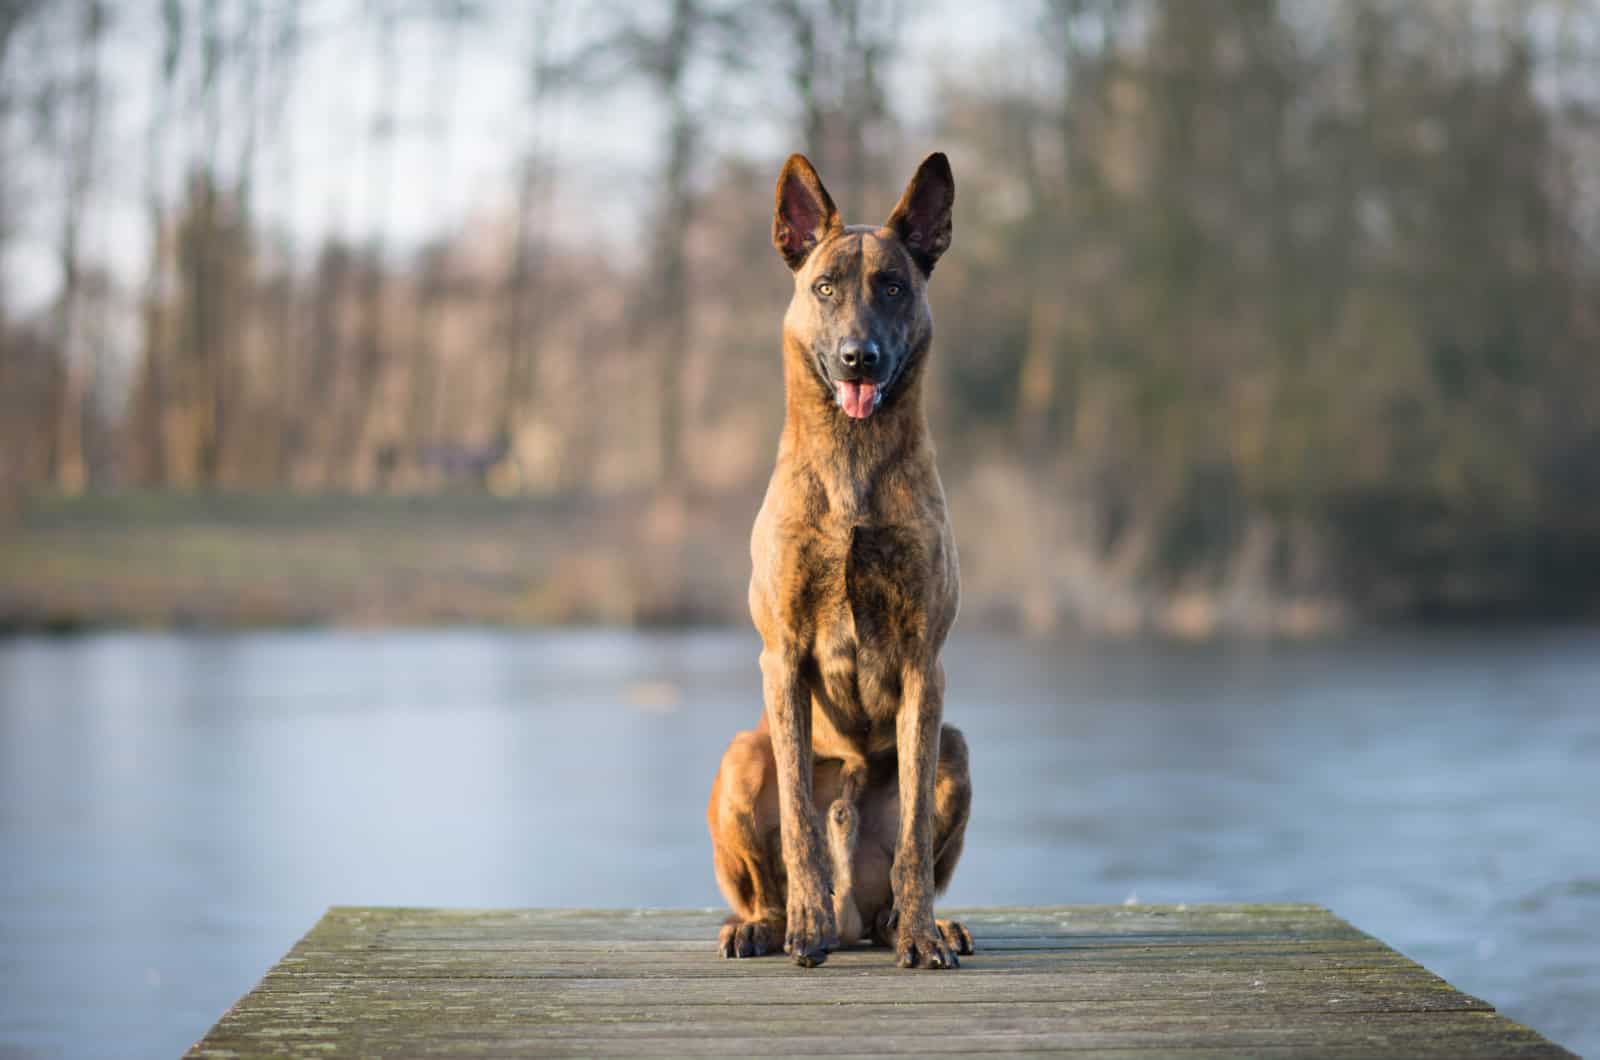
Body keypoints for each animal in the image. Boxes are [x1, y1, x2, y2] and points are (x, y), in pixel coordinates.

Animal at [704, 153, 972, 973]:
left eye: (892, 286)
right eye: (825, 287)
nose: (861, 358)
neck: (854, 463)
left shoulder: (924, 667)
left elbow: (912, 836)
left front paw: (922, 936)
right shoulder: (784, 657)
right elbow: (797, 816)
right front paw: (804, 927)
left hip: (956, 747)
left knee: (899, 880)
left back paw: (919, 924)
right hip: (741, 753)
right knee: (764, 881)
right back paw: (767, 923)